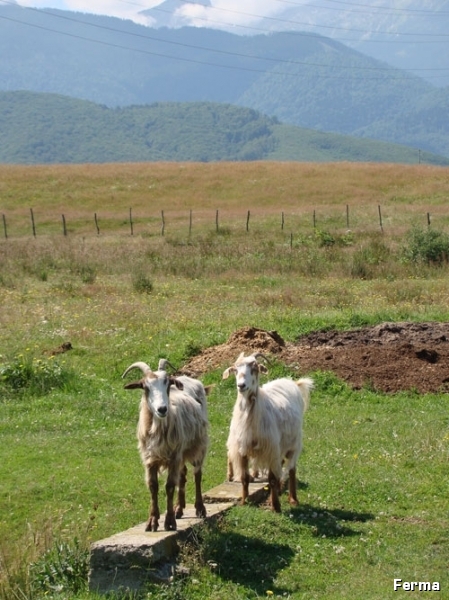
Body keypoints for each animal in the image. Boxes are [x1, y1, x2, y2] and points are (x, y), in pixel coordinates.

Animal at [223, 354, 314, 512]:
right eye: (235, 370)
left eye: (254, 369)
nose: (241, 385)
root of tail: (292, 382)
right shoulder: (242, 450)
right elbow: (244, 478)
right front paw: (245, 501)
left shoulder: (271, 449)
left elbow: (271, 478)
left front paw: (276, 507)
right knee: (281, 466)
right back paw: (279, 490)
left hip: (293, 443)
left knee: (291, 469)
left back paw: (293, 499)